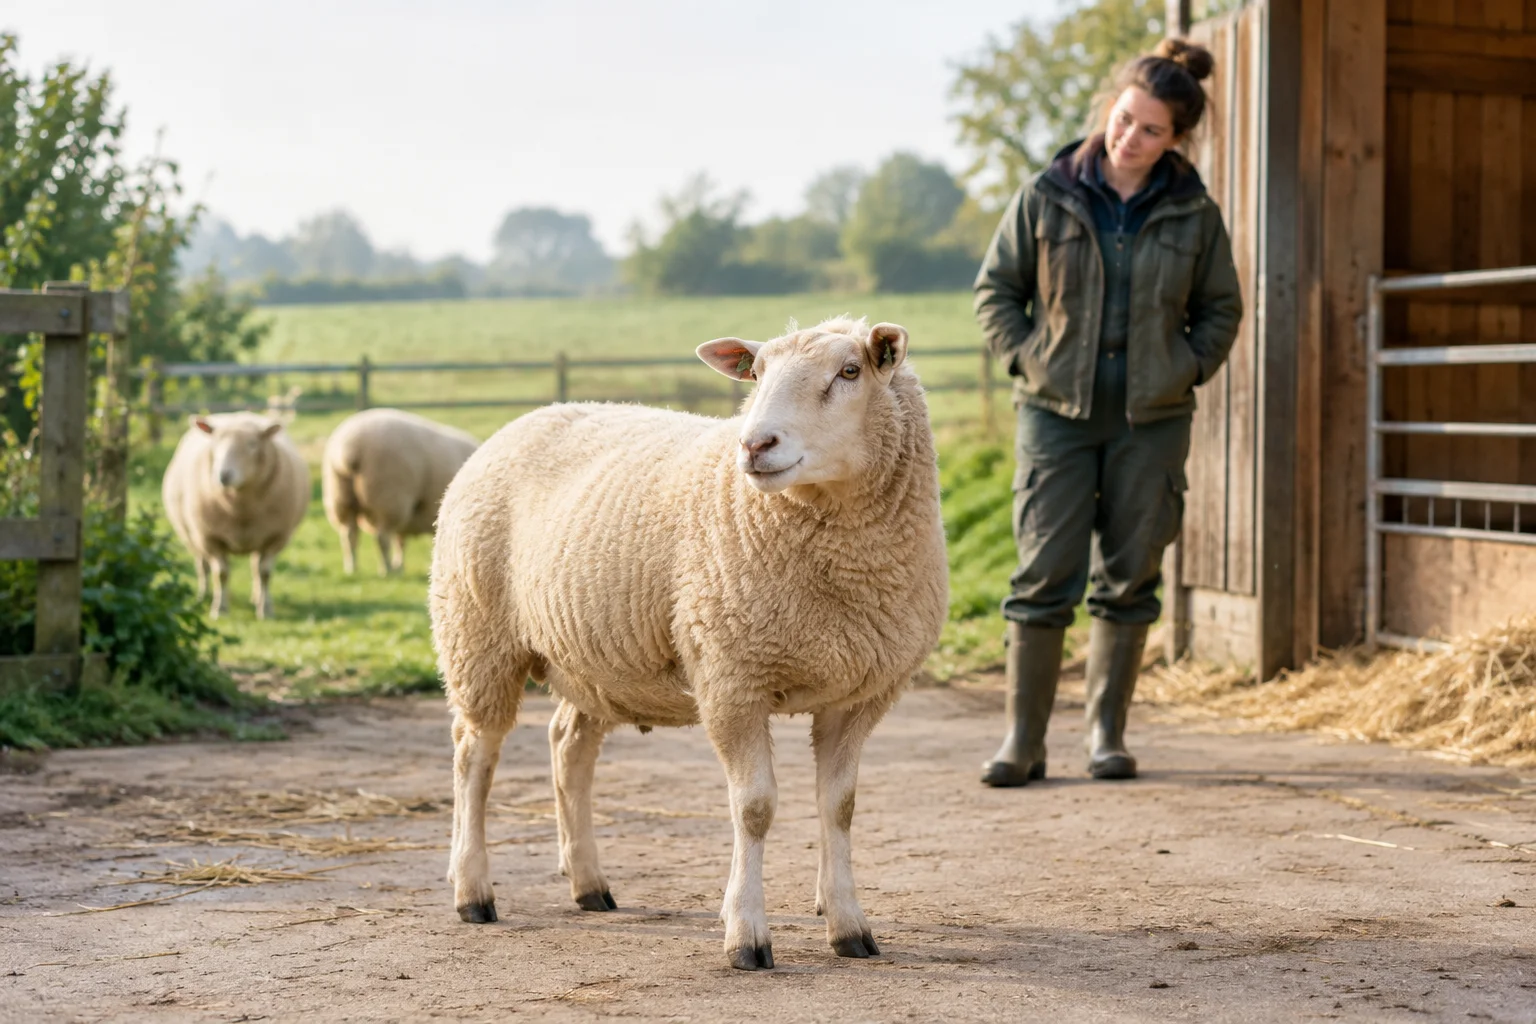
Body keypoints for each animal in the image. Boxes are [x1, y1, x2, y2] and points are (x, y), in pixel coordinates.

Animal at [161, 412, 310, 619]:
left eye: (252, 444)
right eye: (215, 441)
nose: (224, 475)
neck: (241, 509)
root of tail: (237, 415)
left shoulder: (274, 538)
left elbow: (265, 573)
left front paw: (265, 609)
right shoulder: (210, 538)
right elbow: (221, 574)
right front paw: (219, 609)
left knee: (255, 568)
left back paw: (257, 597)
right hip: (191, 536)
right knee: (202, 566)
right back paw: (202, 597)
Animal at [322, 408, 479, 575]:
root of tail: (349, 448)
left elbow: (400, 541)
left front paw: (400, 565)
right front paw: (398, 566)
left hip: (341, 498)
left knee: (349, 535)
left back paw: (352, 567)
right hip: (387, 497)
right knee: (382, 538)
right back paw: (386, 569)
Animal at [430, 316, 948, 971]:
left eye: (850, 372)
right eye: (757, 373)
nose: (754, 446)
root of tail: (518, 422)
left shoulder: (859, 694)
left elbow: (840, 807)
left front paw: (849, 925)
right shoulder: (731, 679)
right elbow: (754, 808)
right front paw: (747, 935)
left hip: (591, 657)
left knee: (567, 748)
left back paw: (589, 884)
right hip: (479, 635)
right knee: (474, 755)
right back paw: (473, 891)